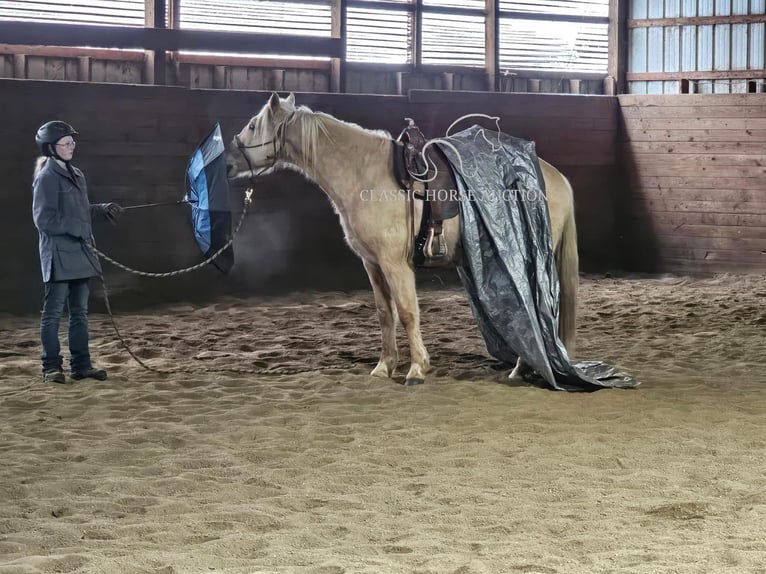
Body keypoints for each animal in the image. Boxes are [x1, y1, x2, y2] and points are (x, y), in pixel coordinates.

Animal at [225, 93, 580, 388]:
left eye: (253, 125)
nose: (227, 163)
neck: (365, 174)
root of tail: (557, 178)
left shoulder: (396, 263)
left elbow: (408, 312)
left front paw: (417, 369)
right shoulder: (372, 263)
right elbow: (385, 313)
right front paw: (385, 366)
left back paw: (523, 366)